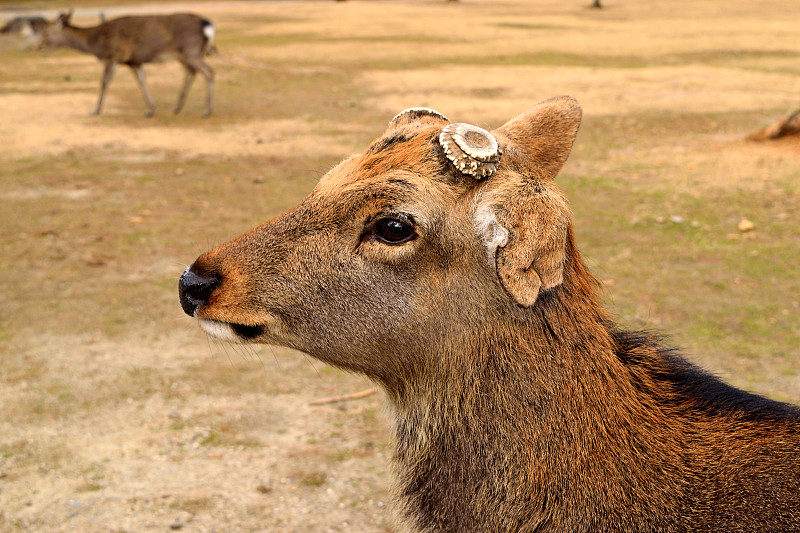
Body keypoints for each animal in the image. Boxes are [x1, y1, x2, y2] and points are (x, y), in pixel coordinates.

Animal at [39, 10, 216, 117]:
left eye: (47, 32)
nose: (40, 48)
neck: (97, 44)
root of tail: (207, 25)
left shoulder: (113, 56)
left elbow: (104, 82)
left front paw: (96, 110)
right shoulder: (133, 61)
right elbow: (142, 81)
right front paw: (150, 109)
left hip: (191, 51)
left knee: (209, 72)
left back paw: (207, 111)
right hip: (186, 55)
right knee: (192, 72)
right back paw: (177, 108)